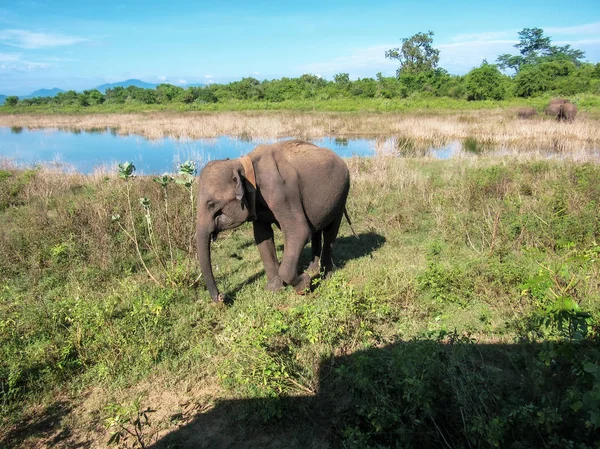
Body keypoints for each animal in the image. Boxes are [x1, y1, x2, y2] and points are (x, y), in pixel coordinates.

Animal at [195, 140, 352, 300]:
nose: (222, 296)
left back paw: (326, 275)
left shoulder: (282, 193)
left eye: (211, 204)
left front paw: (304, 284)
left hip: (342, 194)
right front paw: (274, 289)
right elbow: (262, 237)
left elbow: (299, 232)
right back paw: (312, 269)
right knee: (316, 230)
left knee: (330, 232)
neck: (242, 163)